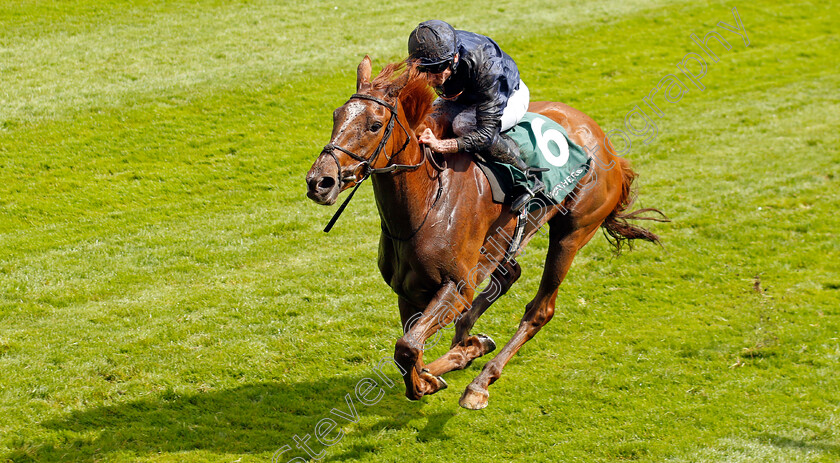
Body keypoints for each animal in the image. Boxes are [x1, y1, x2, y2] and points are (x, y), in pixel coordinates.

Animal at [306, 57, 668, 410]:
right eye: (336, 116)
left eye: (375, 125)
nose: (319, 181)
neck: (428, 202)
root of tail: (605, 142)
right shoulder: (407, 290)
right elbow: (409, 350)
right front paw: (441, 368)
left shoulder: (457, 286)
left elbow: (407, 347)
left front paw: (432, 378)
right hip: (504, 242)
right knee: (507, 278)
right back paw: (468, 350)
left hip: (571, 232)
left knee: (540, 310)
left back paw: (479, 383)